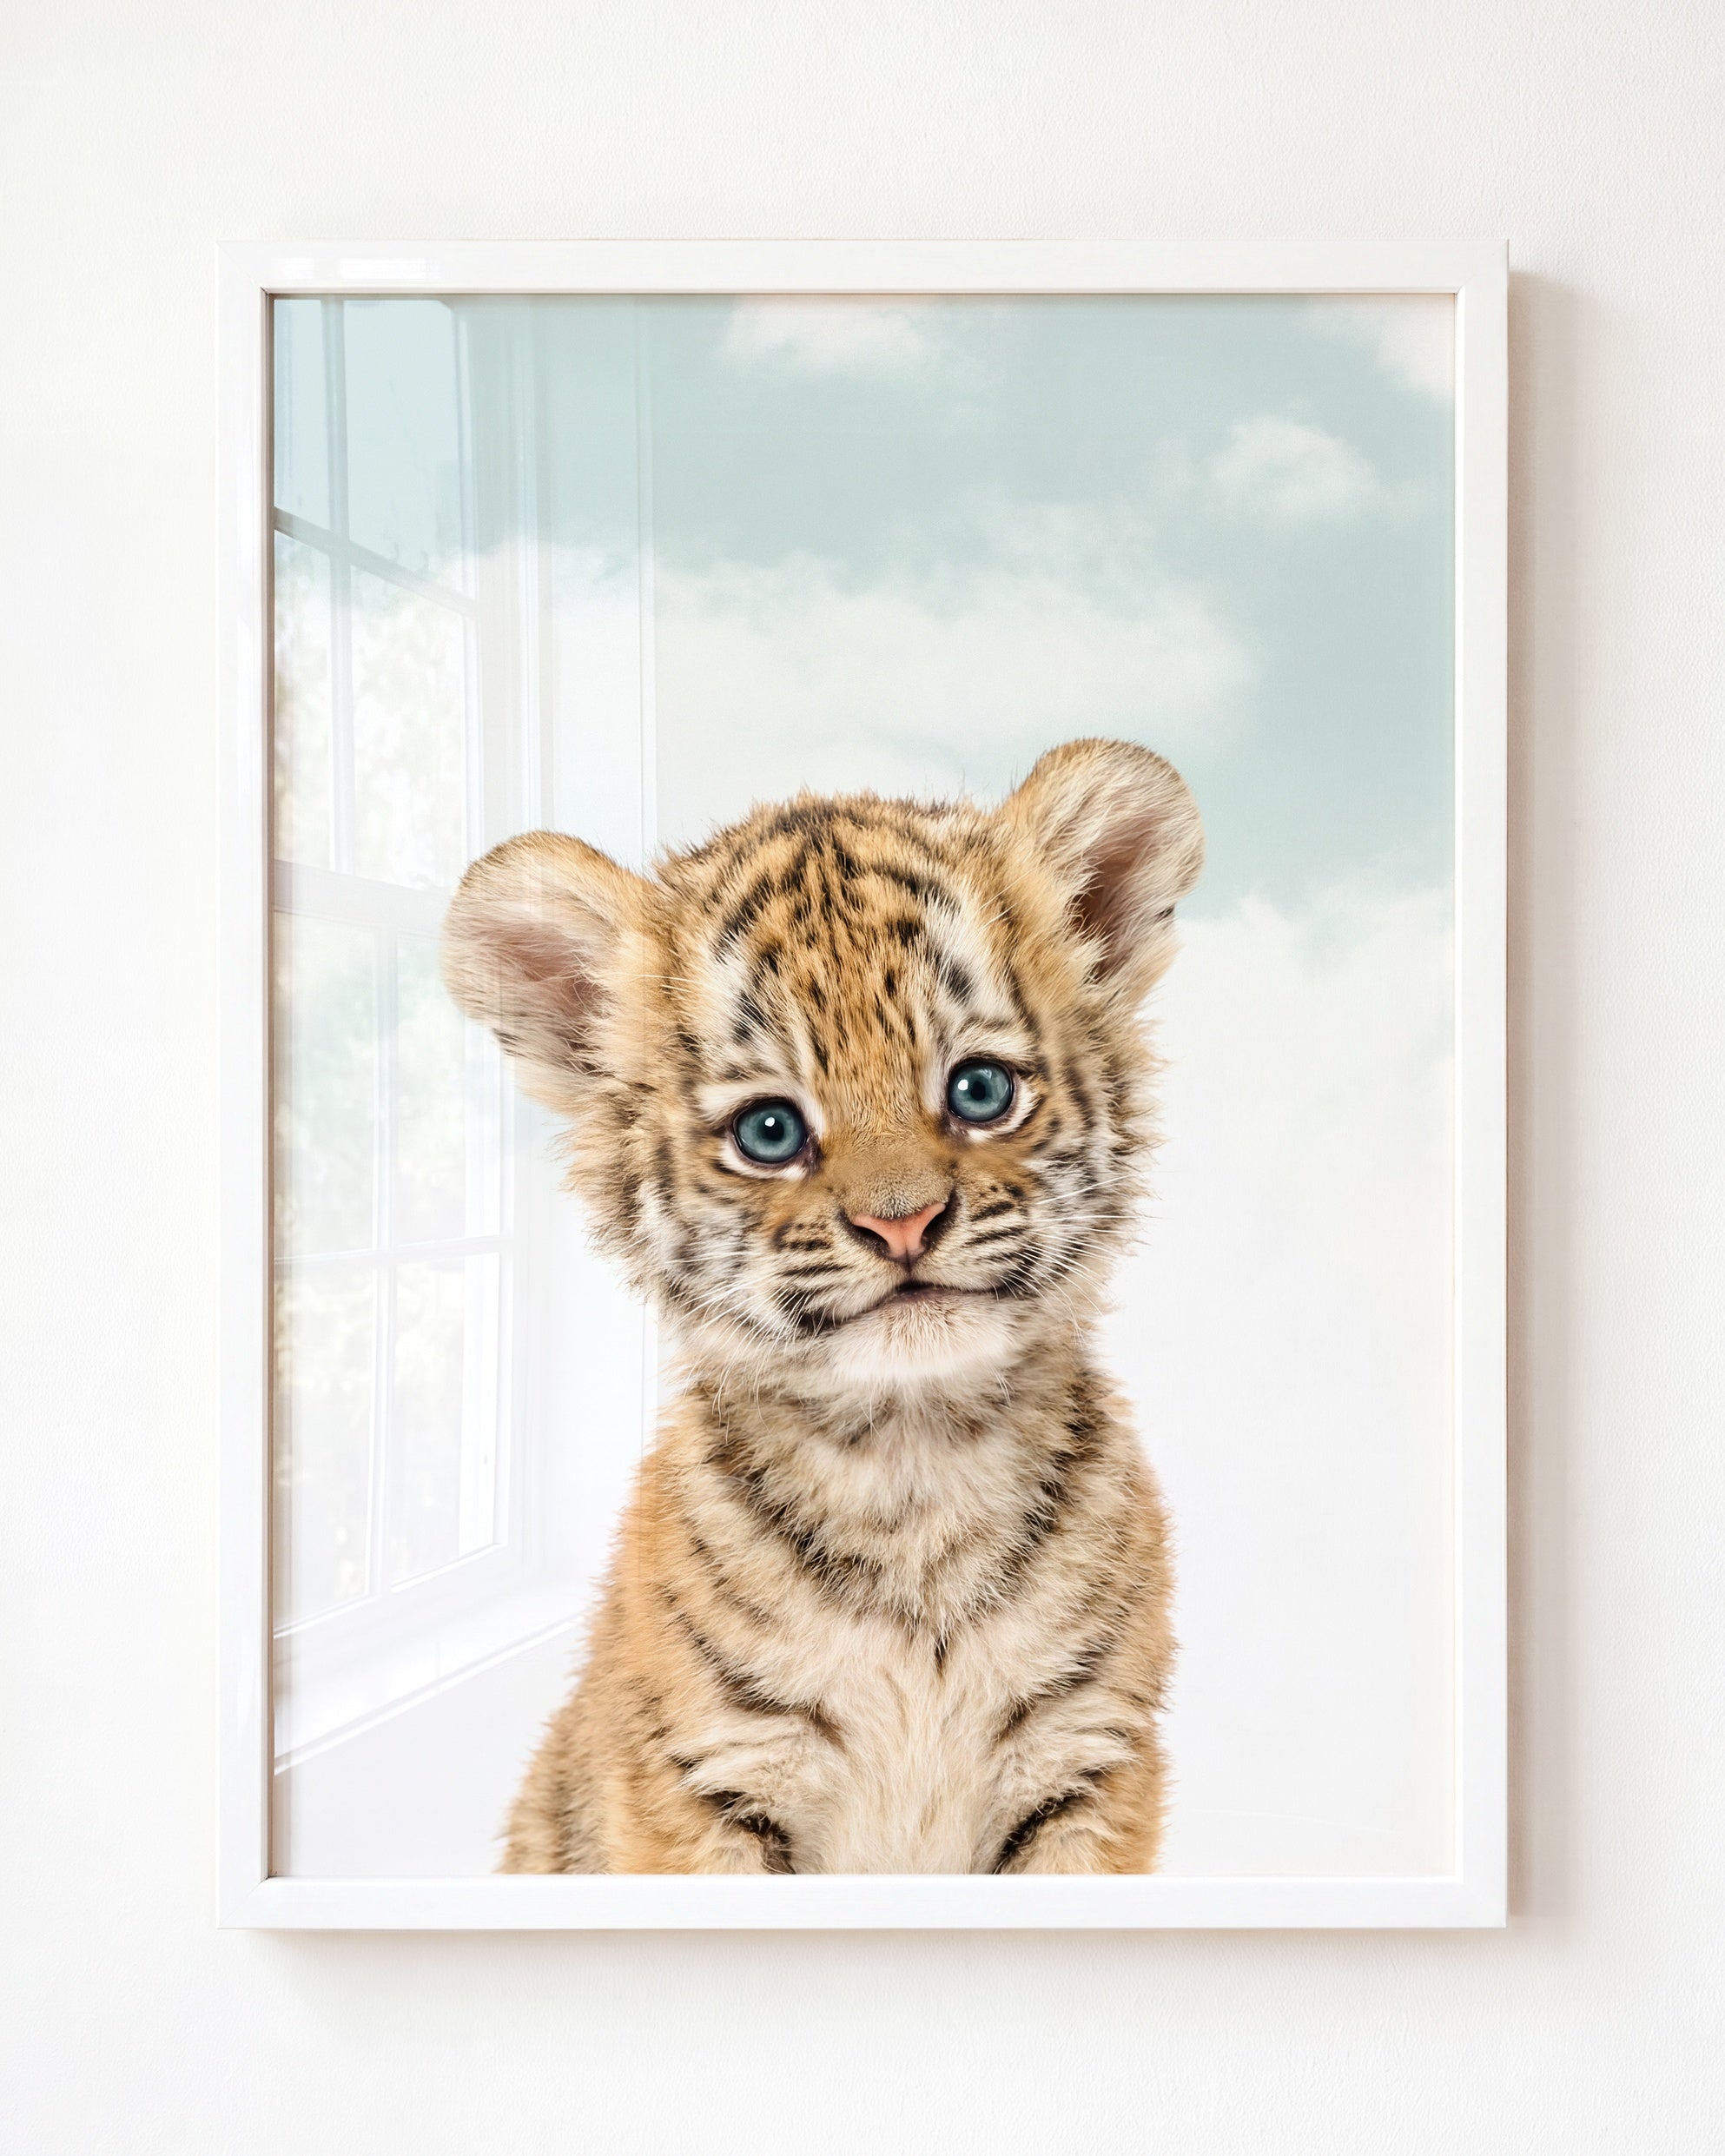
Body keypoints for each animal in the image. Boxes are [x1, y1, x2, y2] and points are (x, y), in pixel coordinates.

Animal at [440, 736, 1204, 1874]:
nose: (903, 1223)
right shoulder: (703, 1777)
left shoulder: (1089, 1760)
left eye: (980, 1091)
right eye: (769, 1131)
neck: (914, 1467)